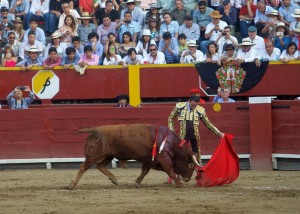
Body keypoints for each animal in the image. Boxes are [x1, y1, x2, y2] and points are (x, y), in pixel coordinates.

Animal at [68, 123, 199, 189]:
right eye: (191, 165)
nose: (188, 179)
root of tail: (95, 130)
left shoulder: (148, 159)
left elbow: (145, 171)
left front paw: (137, 182)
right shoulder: (163, 158)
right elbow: (170, 171)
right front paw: (180, 184)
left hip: (109, 155)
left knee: (100, 166)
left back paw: (114, 179)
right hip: (94, 156)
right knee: (83, 167)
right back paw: (71, 184)